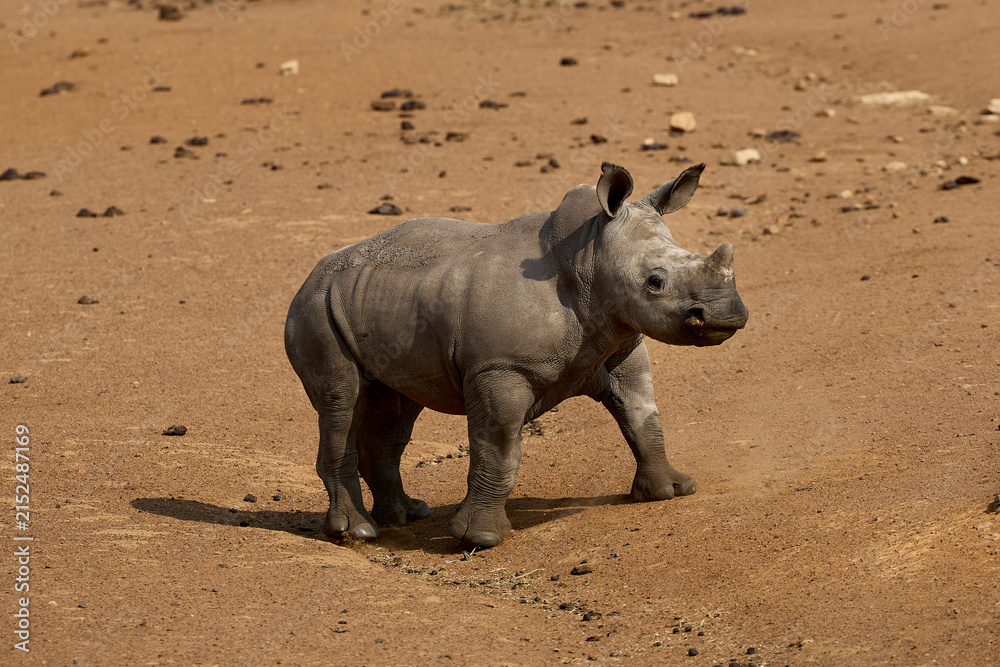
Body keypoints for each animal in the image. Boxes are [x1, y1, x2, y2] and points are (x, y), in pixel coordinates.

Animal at [284, 162, 748, 548]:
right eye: (654, 282)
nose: (729, 314)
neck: (589, 257)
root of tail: (310, 275)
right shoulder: (501, 368)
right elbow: (499, 447)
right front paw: (480, 539)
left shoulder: (622, 344)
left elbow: (643, 416)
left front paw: (670, 491)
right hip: (316, 308)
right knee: (341, 401)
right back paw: (357, 532)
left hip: (377, 299)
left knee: (397, 407)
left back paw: (406, 516)